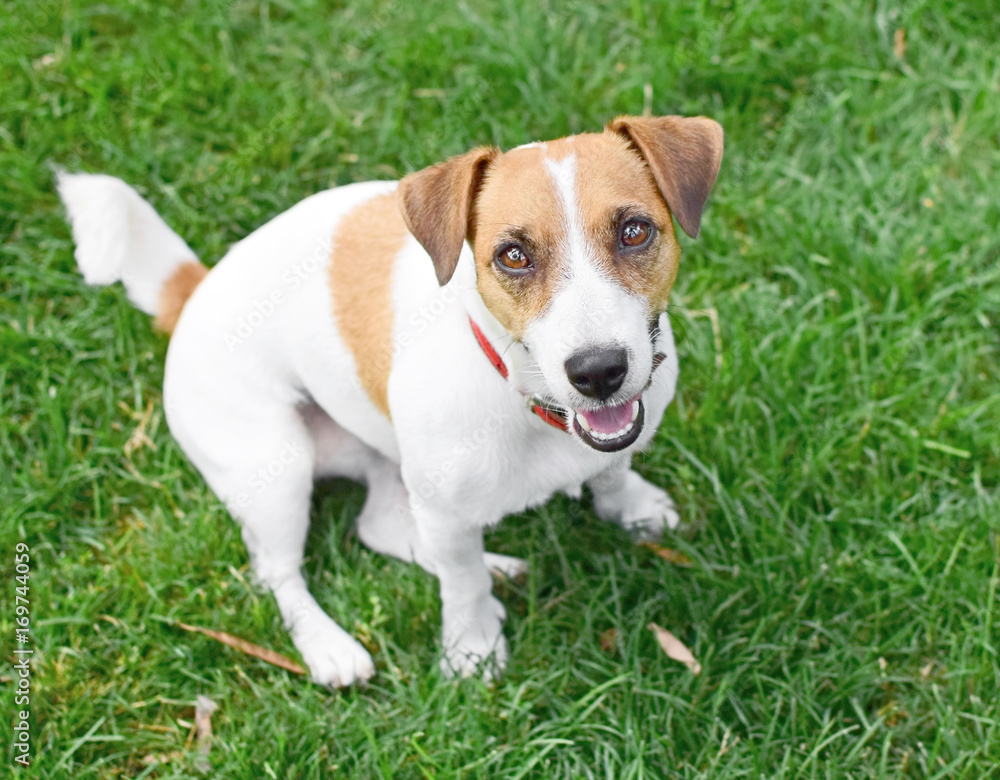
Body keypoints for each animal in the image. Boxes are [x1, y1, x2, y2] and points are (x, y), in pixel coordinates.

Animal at [58, 116, 720, 688]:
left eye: (634, 231)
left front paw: (633, 507)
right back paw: (329, 648)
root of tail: (194, 290)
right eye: (513, 256)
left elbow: (612, 473)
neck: (523, 396)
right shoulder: (444, 510)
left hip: (382, 458)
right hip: (277, 467)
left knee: (379, 527)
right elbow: (461, 585)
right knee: (281, 575)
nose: (598, 372)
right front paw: (472, 650)